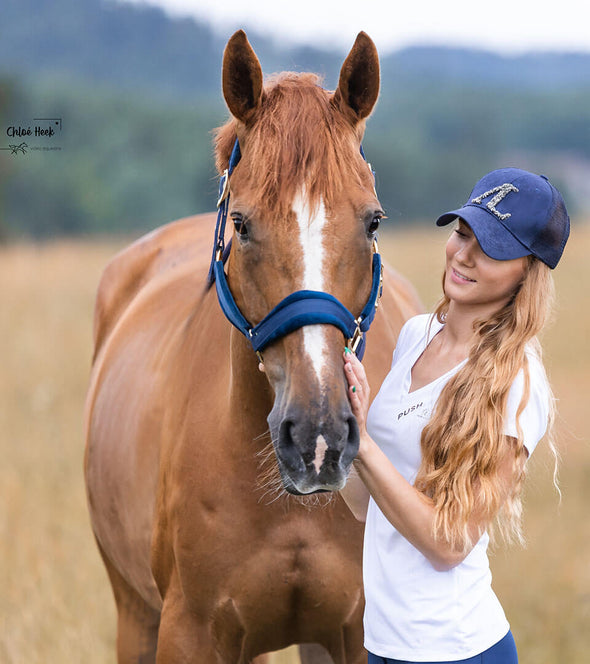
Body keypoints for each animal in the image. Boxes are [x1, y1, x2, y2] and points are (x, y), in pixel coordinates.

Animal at [85, 28, 424, 660]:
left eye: (372, 221)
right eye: (241, 224)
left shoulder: (357, 632)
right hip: (134, 613)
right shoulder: (189, 631)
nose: (318, 437)